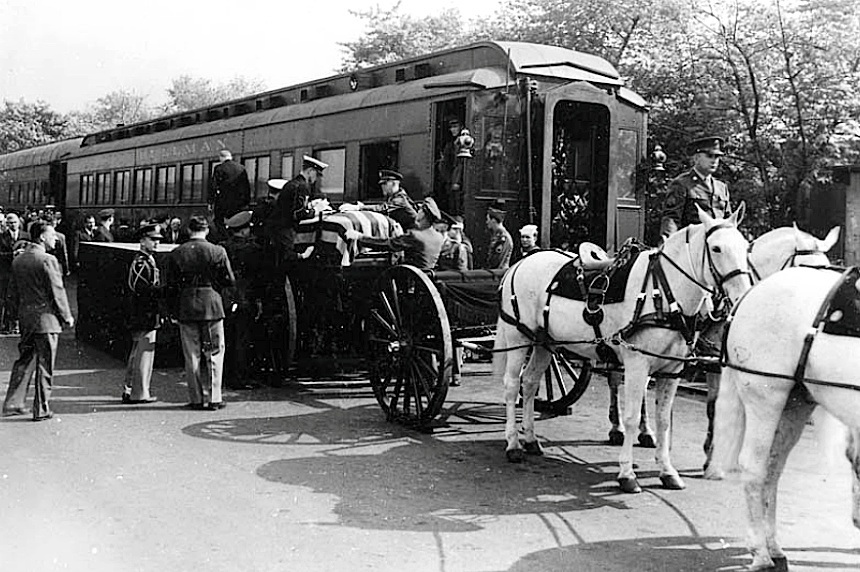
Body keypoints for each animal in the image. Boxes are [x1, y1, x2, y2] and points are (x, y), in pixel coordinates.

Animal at [498, 204, 752, 492]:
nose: (743, 295)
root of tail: (519, 264)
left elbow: (663, 420)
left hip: (545, 344)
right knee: (512, 386)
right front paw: (627, 474)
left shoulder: (672, 369)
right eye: (716, 248)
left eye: (745, 247)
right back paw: (513, 444)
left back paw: (530, 439)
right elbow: (631, 417)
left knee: (530, 383)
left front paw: (667, 471)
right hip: (518, 338)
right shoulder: (637, 363)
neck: (663, 292)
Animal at [708, 266, 860, 568]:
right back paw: (760, 553)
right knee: (753, 467)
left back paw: (773, 546)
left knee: (772, 467)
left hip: (795, 405)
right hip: (765, 399)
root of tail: (752, 292)